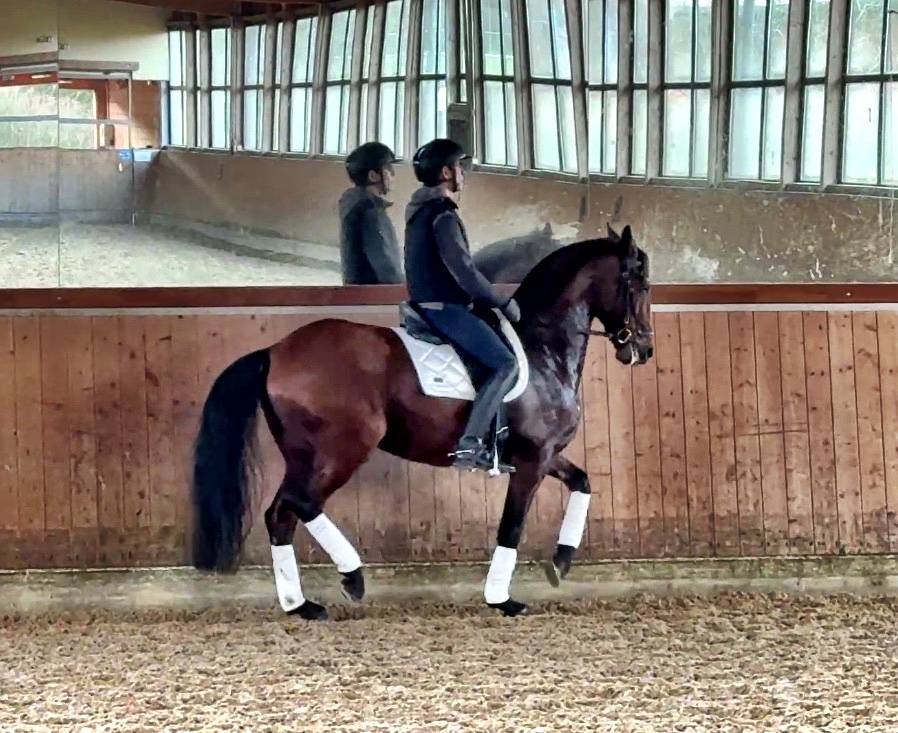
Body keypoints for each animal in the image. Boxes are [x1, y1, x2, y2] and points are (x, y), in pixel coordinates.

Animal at [191, 225, 653, 620]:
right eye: (639, 283)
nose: (643, 350)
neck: (543, 348)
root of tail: (275, 351)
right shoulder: (532, 460)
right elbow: (512, 526)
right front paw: (501, 599)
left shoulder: (543, 454)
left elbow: (583, 482)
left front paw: (561, 561)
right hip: (341, 449)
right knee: (301, 503)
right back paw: (352, 577)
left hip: (303, 454)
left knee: (280, 515)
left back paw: (301, 605)